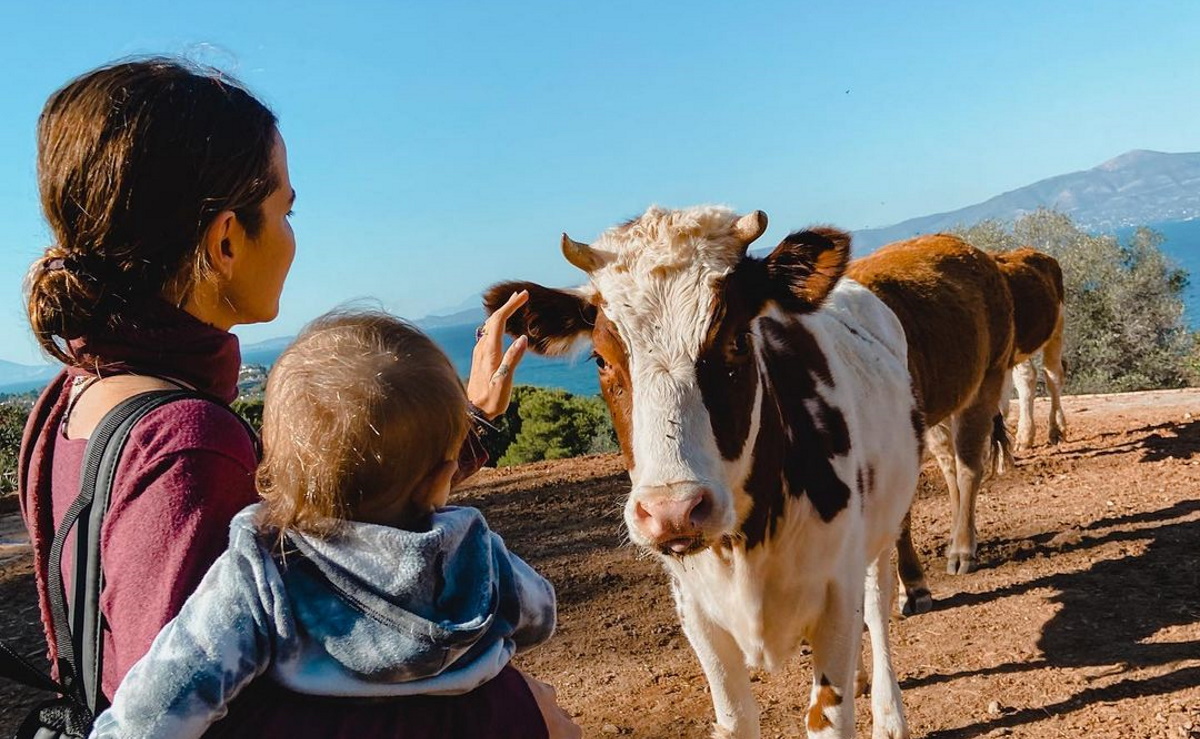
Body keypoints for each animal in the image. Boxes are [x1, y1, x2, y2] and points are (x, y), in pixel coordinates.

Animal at [484, 205, 916, 734]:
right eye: (601, 360)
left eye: (737, 340)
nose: (673, 511)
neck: (747, 545)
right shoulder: (695, 610)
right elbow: (736, 719)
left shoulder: (838, 590)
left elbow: (829, 717)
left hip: (881, 531)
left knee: (877, 606)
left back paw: (889, 713)